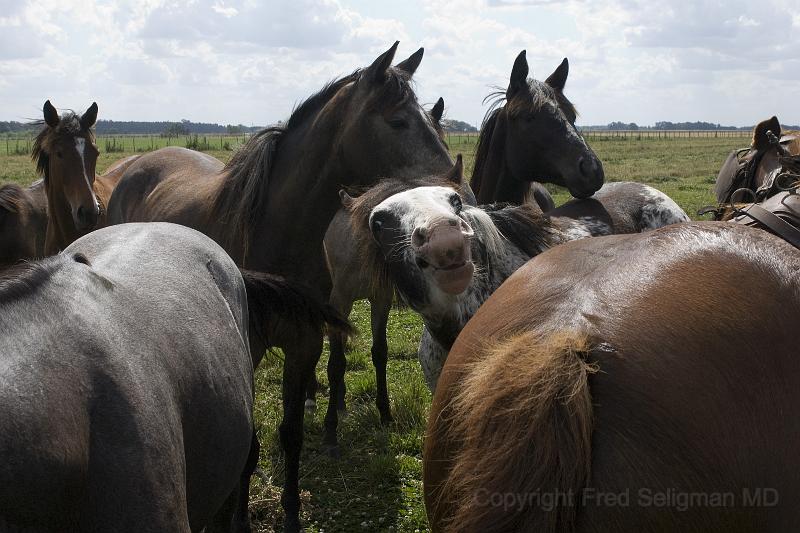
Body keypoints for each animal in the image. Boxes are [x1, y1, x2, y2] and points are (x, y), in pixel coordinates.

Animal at [105, 42, 454, 532]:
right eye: (398, 120)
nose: (453, 186)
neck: (279, 229)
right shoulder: (248, 347)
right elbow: (249, 443)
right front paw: (239, 518)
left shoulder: (304, 338)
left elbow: (291, 433)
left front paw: (290, 511)